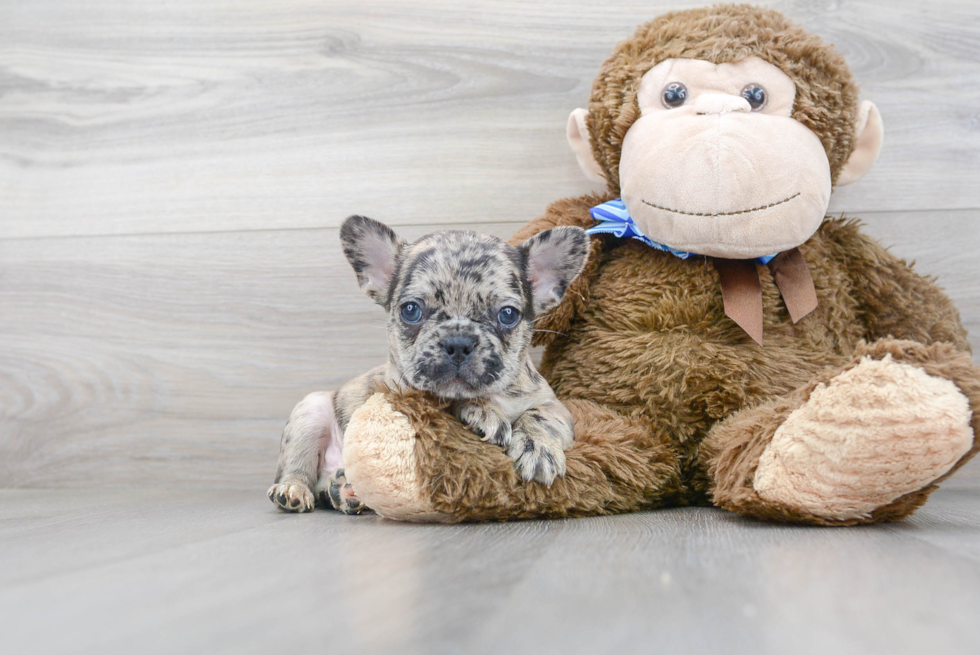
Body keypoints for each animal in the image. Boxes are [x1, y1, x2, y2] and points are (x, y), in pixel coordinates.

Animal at [266, 215, 588, 512]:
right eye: (411, 310)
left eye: (508, 314)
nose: (458, 342)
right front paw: (482, 412)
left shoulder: (554, 405)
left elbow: (540, 417)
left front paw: (538, 448)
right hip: (311, 410)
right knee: (298, 467)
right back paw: (294, 489)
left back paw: (346, 492)